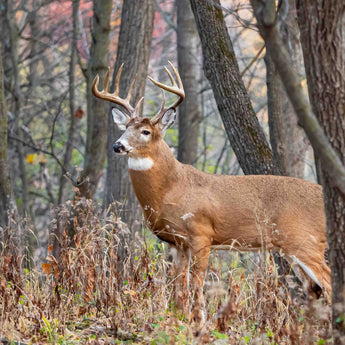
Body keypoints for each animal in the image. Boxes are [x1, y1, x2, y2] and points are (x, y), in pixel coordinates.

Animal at [91, 61, 330, 322]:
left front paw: (200, 320)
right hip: (292, 247)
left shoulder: (201, 233)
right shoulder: (177, 243)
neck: (172, 190)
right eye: (125, 127)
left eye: (146, 132)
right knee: (315, 289)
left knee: (328, 282)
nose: (118, 145)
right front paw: (181, 319)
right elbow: (179, 286)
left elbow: (197, 284)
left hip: (305, 241)